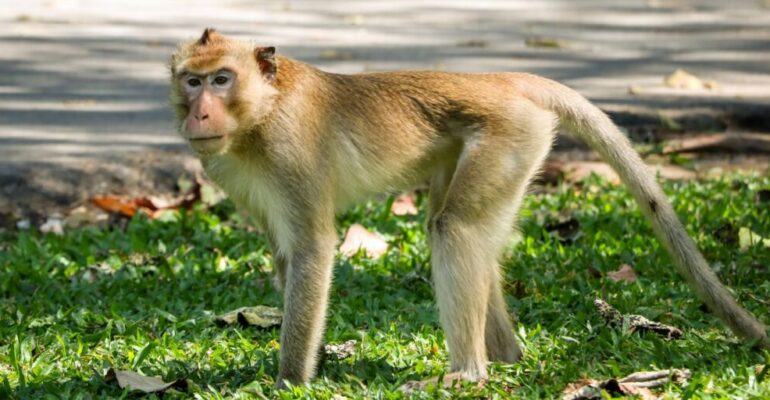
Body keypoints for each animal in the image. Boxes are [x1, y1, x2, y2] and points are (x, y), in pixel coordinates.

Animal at [169, 28, 769, 388]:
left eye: (221, 79)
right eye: (191, 81)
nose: (199, 113)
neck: (260, 115)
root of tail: (498, 79)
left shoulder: (292, 149)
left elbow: (313, 251)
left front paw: (289, 382)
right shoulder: (234, 173)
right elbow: (287, 258)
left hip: (510, 136)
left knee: (453, 229)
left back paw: (468, 372)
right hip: (482, 148)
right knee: (472, 234)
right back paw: (506, 357)